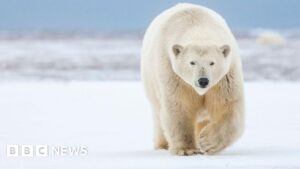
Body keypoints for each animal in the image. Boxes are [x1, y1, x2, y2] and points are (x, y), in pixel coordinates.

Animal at [141, 2, 244, 156]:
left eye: (212, 62)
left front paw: (206, 142)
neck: (197, 25)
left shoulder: (225, 77)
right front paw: (186, 149)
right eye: (192, 62)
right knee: (159, 116)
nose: (203, 81)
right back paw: (163, 145)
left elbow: (228, 106)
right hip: (152, 85)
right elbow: (179, 105)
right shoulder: (172, 72)